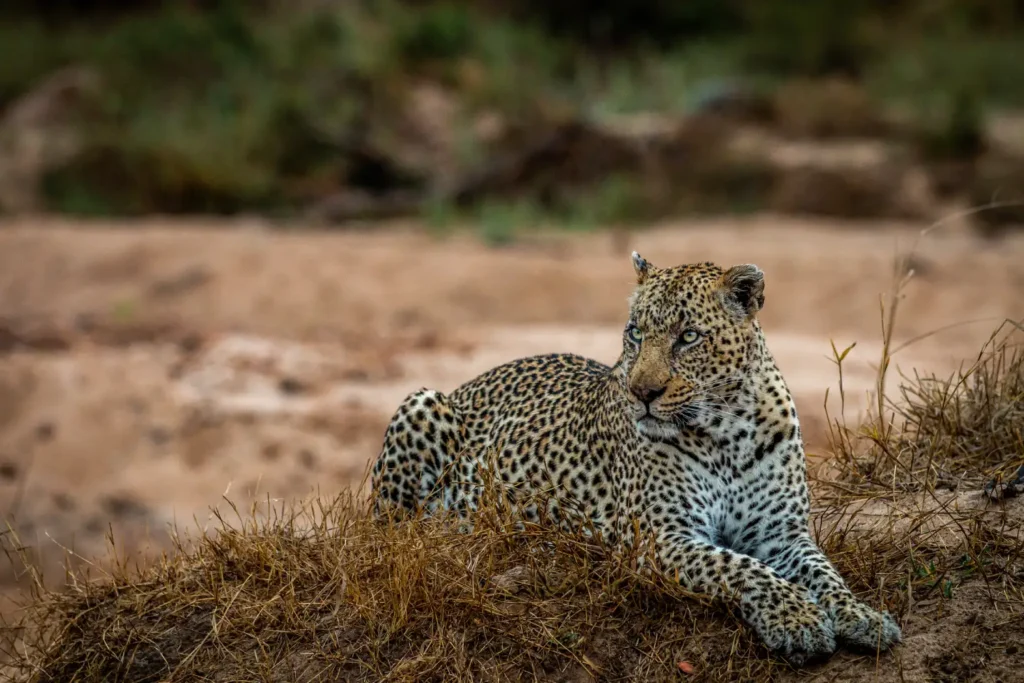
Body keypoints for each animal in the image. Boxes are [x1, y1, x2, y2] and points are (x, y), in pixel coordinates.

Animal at [370, 253, 902, 665]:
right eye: (635, 333)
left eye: (688, 336)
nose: (642, 392)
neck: (729, 432)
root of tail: (472, 380)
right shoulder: (660, 535)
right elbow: (740, 567)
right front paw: (798, 618)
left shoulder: (781, 532)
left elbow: (824, 572)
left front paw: (861, 616)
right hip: (422, 403)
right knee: (394, 532)